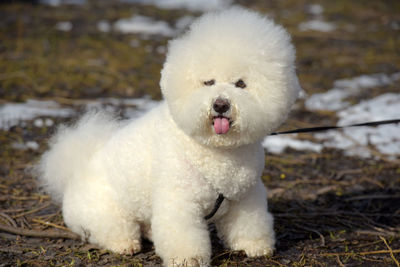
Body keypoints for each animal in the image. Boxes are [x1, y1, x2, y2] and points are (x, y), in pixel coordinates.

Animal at [37, 6, 300, 267]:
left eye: (241, 84)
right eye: (208, 82)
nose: (220, 104)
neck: (216, 150)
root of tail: (75, 171)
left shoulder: (246, 196)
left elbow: (250, 224)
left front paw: (254, 246)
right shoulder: (178, 199)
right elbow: (183, 234)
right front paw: (187, 259)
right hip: (107, 211)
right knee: (110, 230)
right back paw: (125, 244)